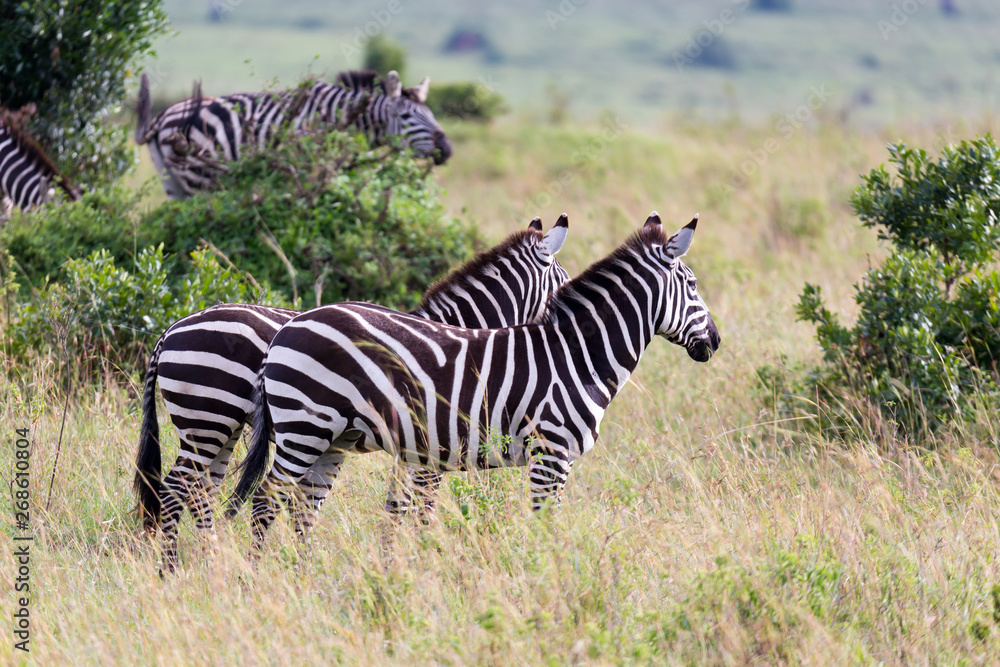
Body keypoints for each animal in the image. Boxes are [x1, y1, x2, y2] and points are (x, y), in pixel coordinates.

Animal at [133, 215, 570, 572]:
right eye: (565, 285)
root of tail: (170, 330)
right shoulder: (431, 447)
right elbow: (419, 510)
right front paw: (419, 561)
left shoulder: (412, 449)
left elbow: (395, 507)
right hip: (209, 419)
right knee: (176, 491)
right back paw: (172, 571)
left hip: (218, 427)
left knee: (200, 493)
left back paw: (211, 562)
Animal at [135, 69, 452, 199]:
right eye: (406, 116)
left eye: (432, 113)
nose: (447, 149)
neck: (339, 113)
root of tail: (163, 115)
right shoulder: (306, 162)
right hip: (197, 176)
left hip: (171, 178)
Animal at [232, 212, 720, 552]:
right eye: (694, 285)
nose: (715, 342)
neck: (576, 355)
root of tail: (286, 329)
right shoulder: (550, 454)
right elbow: (542, 524)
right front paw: (548, 578)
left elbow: (403, 515)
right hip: (304, 427)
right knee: (266, 499)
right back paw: (260, 578)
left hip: (332, 438)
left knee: (300, 505)